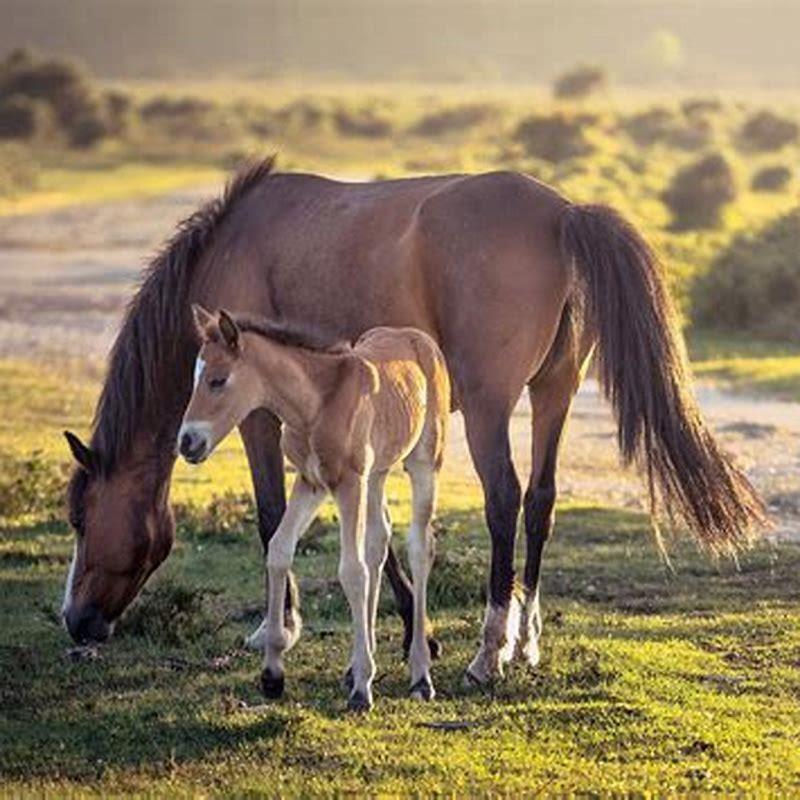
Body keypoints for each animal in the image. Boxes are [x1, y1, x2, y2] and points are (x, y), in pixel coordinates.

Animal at [177, 306, 449, 710]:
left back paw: (420, 675)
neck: (316, 404)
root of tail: (418, 337)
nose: (187, 442)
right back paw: (358, 666)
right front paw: (273, 673)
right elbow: (279, 550)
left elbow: (352, 571)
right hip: (376, 473)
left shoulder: (348, 482)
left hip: (423, 460)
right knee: (378, 542)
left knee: (419, 546)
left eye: (217, 380)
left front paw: (362, 689)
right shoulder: (311, 482)